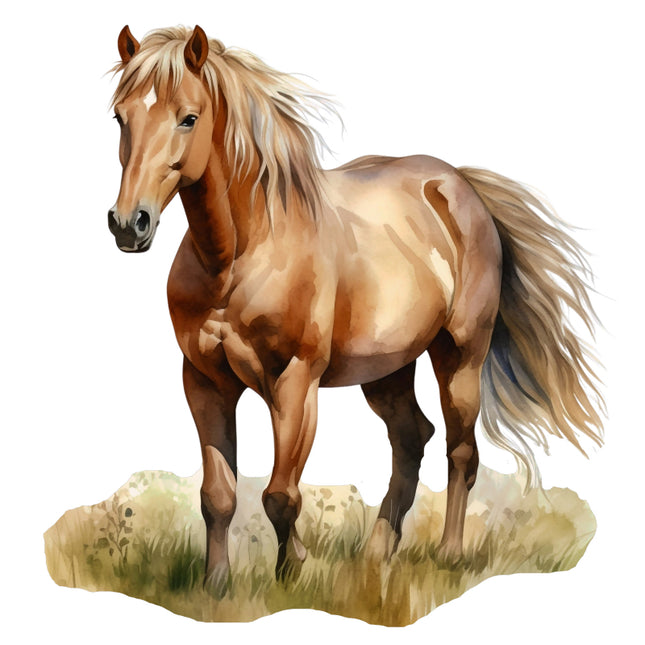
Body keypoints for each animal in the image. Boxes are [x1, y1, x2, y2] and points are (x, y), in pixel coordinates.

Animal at [107, 25, 603, 592]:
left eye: (188, 117)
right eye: (120, 116)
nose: (129, 224)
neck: (239, 256)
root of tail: (458, 184)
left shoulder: (295, 382)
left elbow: (280, 496)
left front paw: (292, 571)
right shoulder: (204, 383)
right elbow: (218, 496)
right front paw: (216, 586)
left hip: (460, 357)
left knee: (461, 451)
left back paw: (449, 555)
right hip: (387, 371)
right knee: (412, 439)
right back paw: (377, 553)